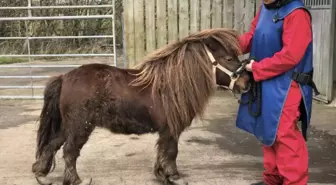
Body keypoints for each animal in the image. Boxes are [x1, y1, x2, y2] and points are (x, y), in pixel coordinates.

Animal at [32, 27, 252, 185]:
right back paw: (76, 180)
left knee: (52, 145)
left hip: (67, 126)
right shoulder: (171, 130)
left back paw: (41, 174)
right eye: (229, 58)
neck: (171, 85)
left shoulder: (166, 131)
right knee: (70, 151)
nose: (247, 83)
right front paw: (174, 176)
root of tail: (65, 77)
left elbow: (162, 151)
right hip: (80, 127)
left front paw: (162, 175)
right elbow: (171, 152)